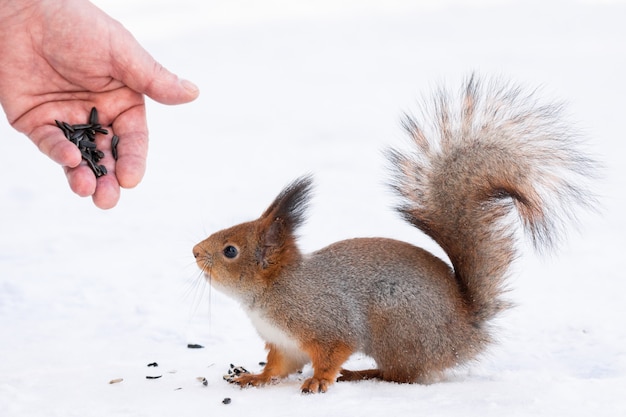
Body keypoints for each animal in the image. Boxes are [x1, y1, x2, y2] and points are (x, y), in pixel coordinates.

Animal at [190, 75, 596, 394]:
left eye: (230, 250)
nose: (194, 251)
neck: (272, 292)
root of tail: (466, 333)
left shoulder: (326, 321)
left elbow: (333, 352)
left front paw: (320, 380)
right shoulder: (283, 343)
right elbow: (278, 367)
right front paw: (254, 378)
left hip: (396, 328)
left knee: (402, 375)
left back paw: (363, 373)